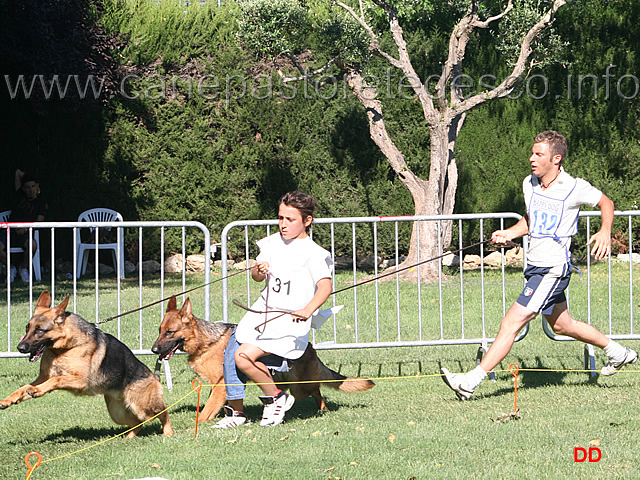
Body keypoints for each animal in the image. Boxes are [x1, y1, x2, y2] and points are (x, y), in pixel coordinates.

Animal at [0, 290, 172, 436]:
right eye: (27, 328)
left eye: (39, 330)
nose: (20, 348)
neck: (64, 349)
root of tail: (154, 377)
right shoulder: (43, 377)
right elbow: (24, 387)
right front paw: (9, 399)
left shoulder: (79, 381)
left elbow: (56, 380)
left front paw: (36, 391)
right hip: (117, 413)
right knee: (137, 423)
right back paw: (128, 437)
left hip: (143, 407)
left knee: (163, 411)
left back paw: (168, 433)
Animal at [151, 294, 376, 422]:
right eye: (160, 331)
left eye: (170, 332)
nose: (153, 350)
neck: (207, 342)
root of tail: (310, 347)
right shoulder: (219, 385)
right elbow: (219, 404)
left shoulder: (221, 383)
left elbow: (207, 410)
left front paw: (200, 423)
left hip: (300, 386)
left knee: (316, 391)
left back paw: (321, 411)